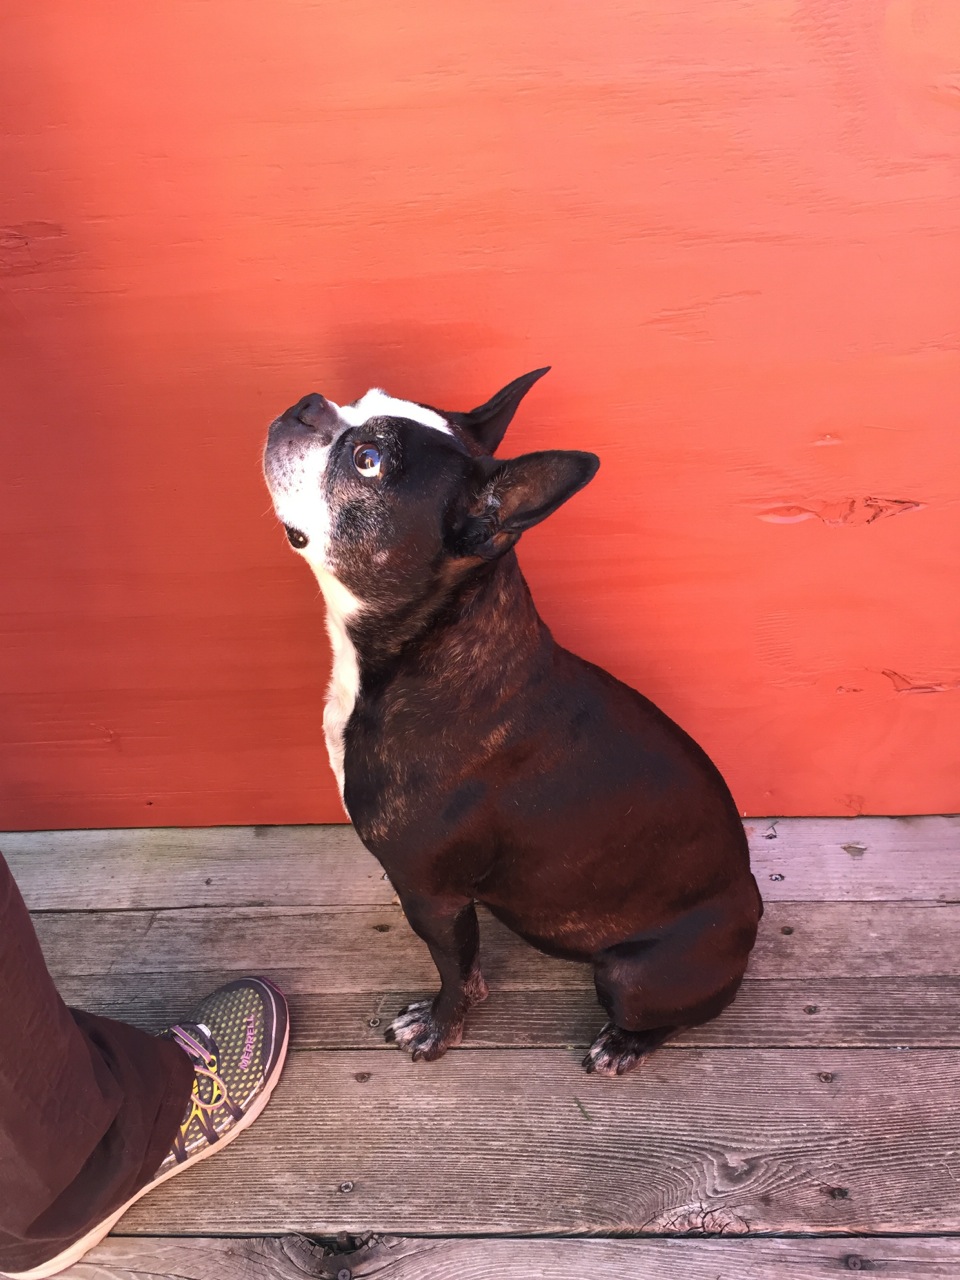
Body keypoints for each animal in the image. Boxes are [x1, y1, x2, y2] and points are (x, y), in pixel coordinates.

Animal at [263, 368, 762, 1076]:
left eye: (368, 461)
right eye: (357, 399)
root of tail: (754, 913)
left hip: (631, 976)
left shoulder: (431, 894)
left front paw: (440, 1027)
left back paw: (623, 1045)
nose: (308, 406)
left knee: (664, 1014)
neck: (425, 647)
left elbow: (457, 971)